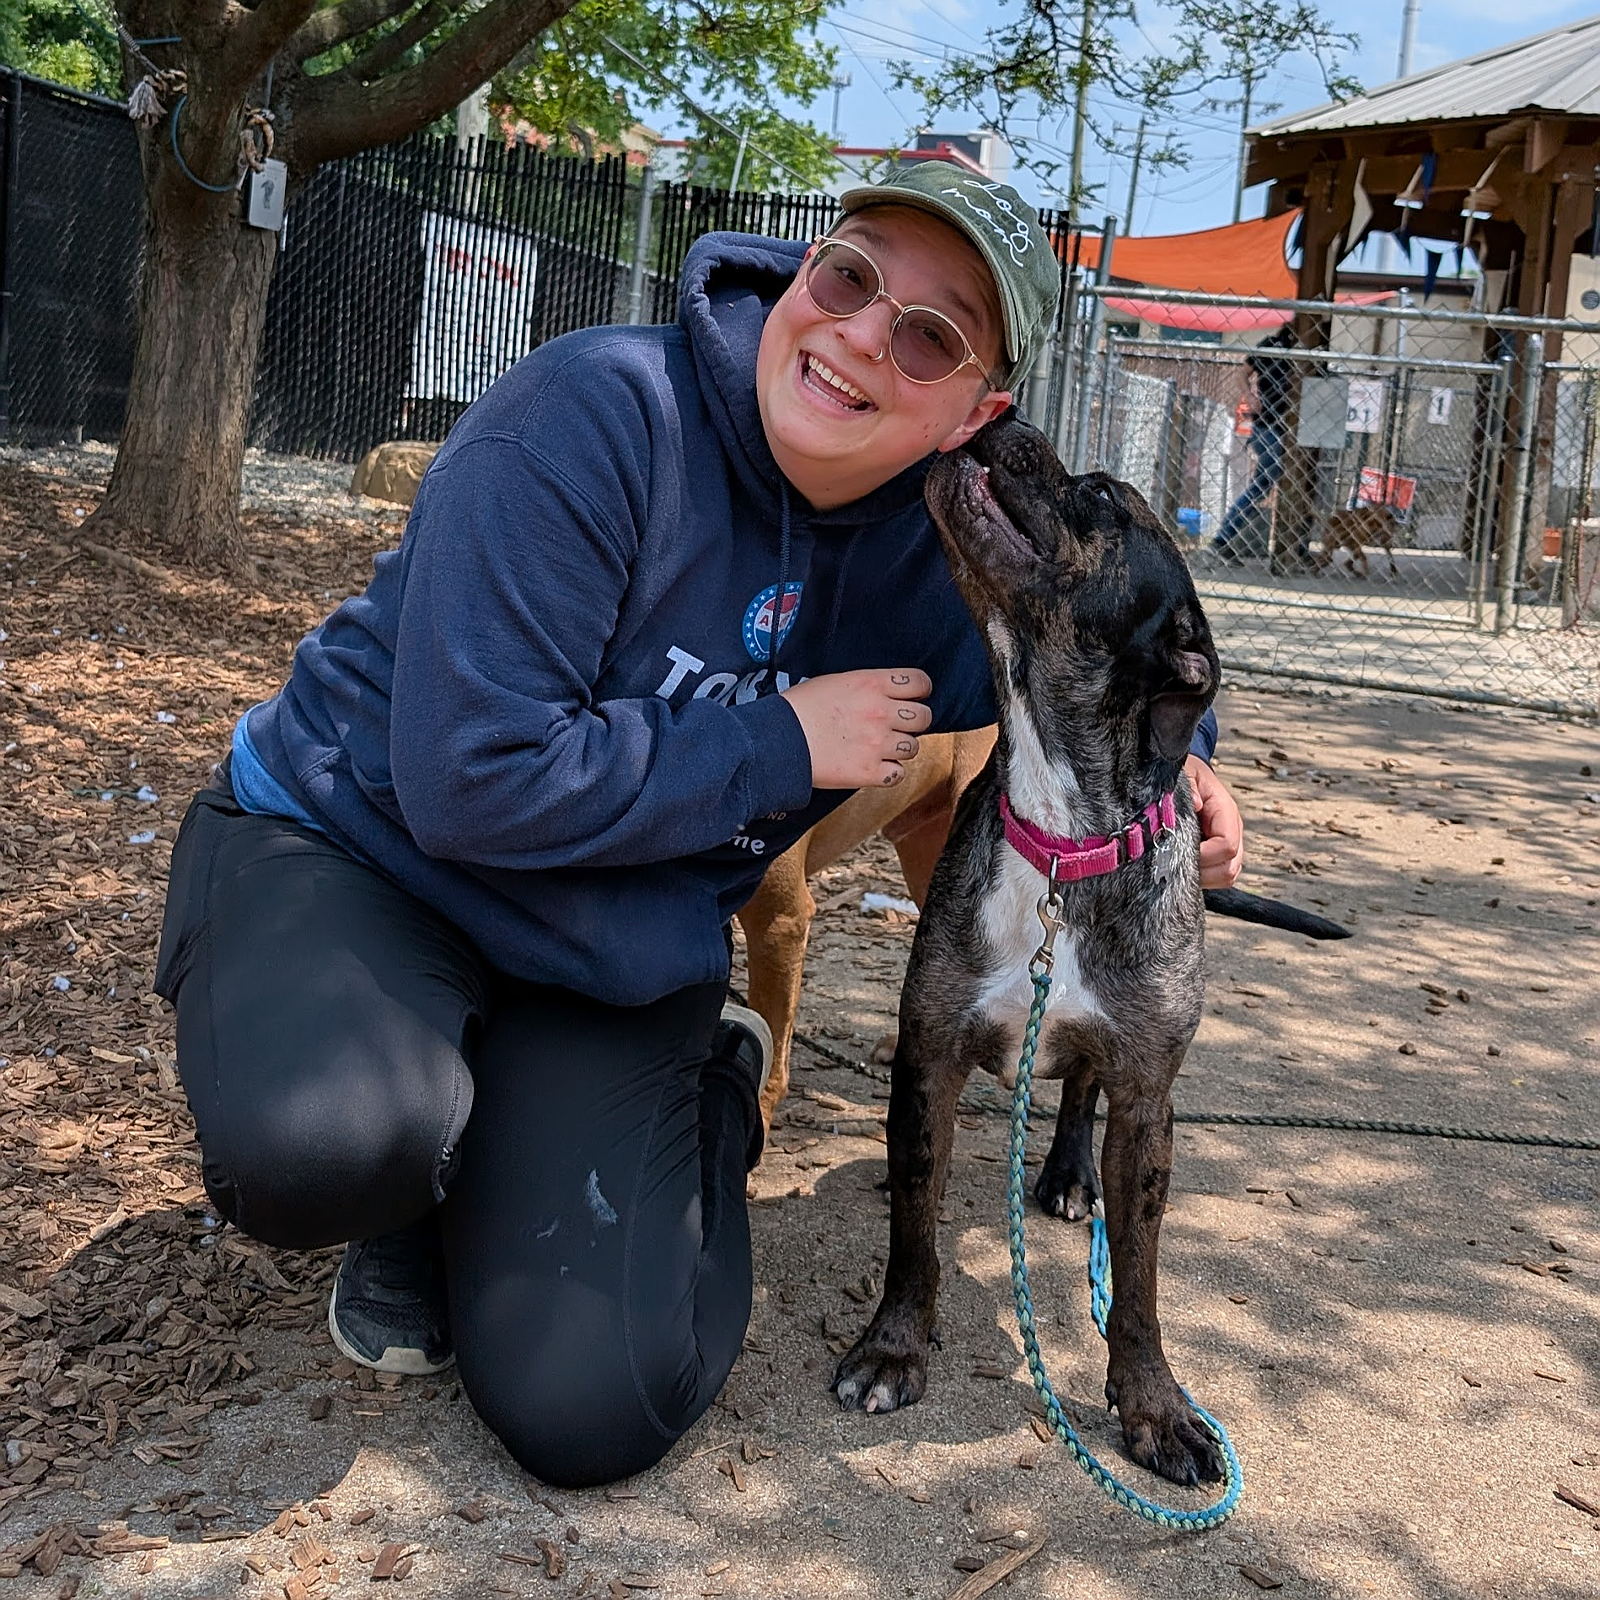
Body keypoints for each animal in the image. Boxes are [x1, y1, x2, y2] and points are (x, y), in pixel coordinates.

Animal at [831, 413, 1315, 1488]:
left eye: (1098, 494)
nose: (1002, 416)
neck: (1061, 833)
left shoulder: (1146, 1098)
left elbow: (1136, 1277)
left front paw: (1156, 1407)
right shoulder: (928, 1055)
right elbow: (915, 1230)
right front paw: (894, 1346)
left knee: (1077, 1096)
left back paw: (1063, 1173)